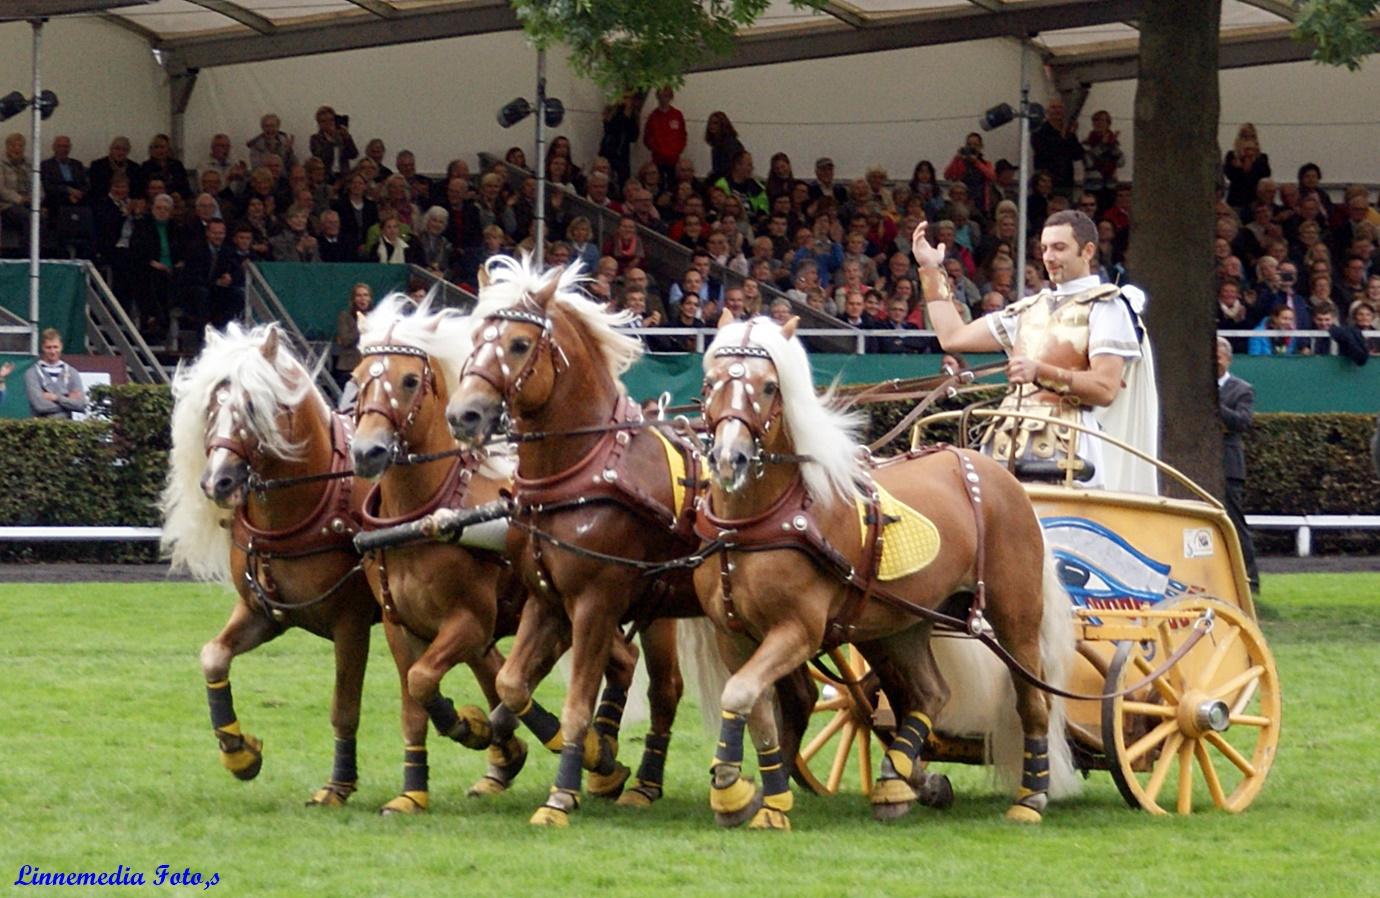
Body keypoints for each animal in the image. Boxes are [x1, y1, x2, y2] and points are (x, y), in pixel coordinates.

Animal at [160, 321, 378, 805]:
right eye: (212, 407)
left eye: (253, 406)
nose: (217, 481)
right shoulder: (265, 612)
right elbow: (213, 656)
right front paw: (238, 751)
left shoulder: (353, 621)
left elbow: (345, 707)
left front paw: (338, 784)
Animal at [449, 257, 739, 827]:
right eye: (473, 337)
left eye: (519, 344)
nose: (463, 414)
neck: (582, 473)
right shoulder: (546, 599)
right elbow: (511, 682)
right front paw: (589, 755)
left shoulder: (595, 603)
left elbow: (580, 702)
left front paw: (562, 793)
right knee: (672, 689)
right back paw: (646, 785)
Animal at [701, 320, 1076, 833]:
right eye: (711, 382)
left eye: (769, 386)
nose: (729, 458)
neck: (761, 522)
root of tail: (1005, 479)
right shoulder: (733, 634)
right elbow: (754, 709)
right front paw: (756, 798)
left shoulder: (798, 631)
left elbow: (742, 693)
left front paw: (736, 791)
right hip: (899, 624)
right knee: (930, 694)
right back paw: (898, 780)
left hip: (1014, 616)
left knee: (1033, 700)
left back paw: (1029, 797)